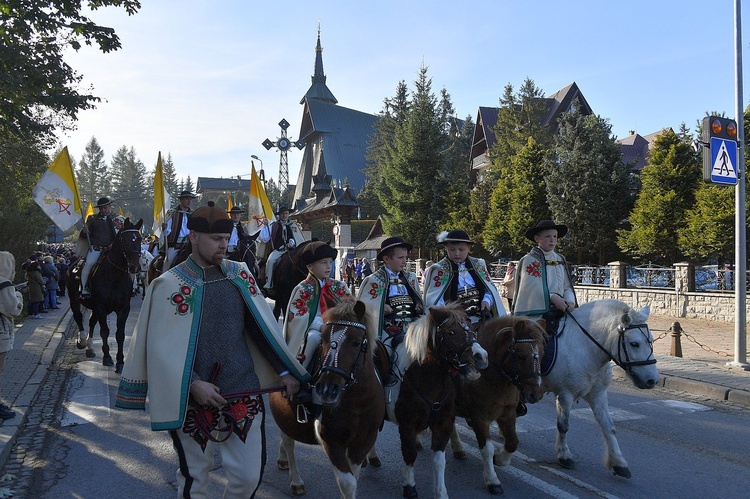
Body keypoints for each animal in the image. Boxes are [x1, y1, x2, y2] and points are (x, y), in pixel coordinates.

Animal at [68, 217, 145, 374]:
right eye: (124, 239)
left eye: (140, 238)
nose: (135, 267)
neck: (114, 276)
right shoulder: (101, 307)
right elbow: (104, 331)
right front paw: (107, 357)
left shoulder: (123, 309)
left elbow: (120, 334)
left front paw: (120, 362)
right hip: (74, 300)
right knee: (79, 318)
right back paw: (82, 341)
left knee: (91, 322)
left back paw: (90, 348)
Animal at [270, 300, 384, 499]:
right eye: (323, 340)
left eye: (356, 342)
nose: (326, 390)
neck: (357, 402)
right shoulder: (331, 439)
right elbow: (347, 483)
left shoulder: (364, 439)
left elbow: (354, 476)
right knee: (289, 442)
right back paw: (296, 480)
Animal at [390, 304, 490, 499]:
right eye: (451, 332)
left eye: (472, 328)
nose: (482, 356)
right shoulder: (406, 425)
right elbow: (409, 454)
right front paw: (409, 486)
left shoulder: (442, 423)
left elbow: (439, 460)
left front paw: (441, 492)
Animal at [450, 316, 548, 496]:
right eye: (521, 356)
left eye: (543, 354)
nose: (536, 394)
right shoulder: (479, 419)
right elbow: (487, 449)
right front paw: (492, 480)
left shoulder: (507, 414)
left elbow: (513, 441)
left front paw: (501, 459)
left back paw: (458, 448)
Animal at [452, 298, 656, 478]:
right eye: (634, 343)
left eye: (651, 341)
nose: (652, 380)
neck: (583, 347)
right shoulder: (566, 394)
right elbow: (563, 425)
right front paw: (564, 455)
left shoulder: (598, 395)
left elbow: (609, 427)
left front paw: (619, 463)